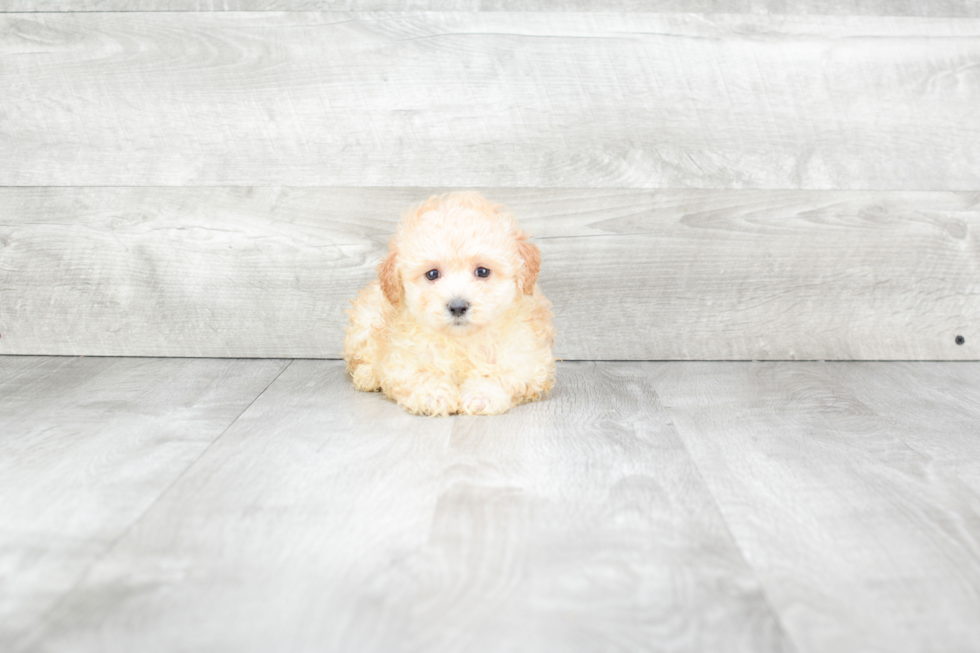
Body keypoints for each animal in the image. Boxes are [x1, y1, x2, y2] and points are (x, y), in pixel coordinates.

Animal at [344, 191, 560, 416]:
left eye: (482, 271)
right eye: (432, 274)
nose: (457, 307)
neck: (461, 341)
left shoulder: (526, 360)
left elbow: (497, 374)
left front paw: (481, 395)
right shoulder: (402, 360)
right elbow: (421, 375)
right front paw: (433, 395)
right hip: (364, 321)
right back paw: (367, 375)